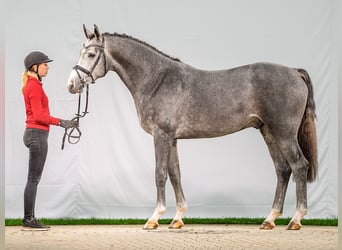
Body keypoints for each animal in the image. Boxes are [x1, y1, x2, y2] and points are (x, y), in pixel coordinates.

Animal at [67, 24, 318, 230]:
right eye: (80, 52)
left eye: (91, 54)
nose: (71, 84)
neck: (157, 79)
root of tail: (294, 72)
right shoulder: (172, 138)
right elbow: (175, 174)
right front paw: (177, 218)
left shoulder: (161, 135)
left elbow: (160, 174)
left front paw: (154, 218)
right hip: (268, 132)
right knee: (282, 170)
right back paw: (270, 219)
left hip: (284, 133)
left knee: (299, 166)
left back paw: (296, 219)